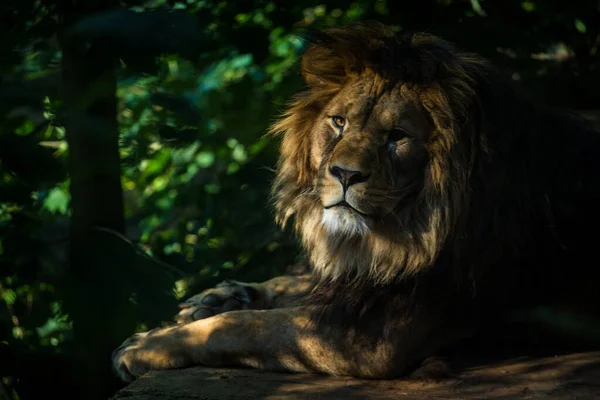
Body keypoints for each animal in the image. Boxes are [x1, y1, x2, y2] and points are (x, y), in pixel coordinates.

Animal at [111, 21, 600, 382]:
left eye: (397, 137)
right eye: (339, 123)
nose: (344, 175)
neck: (401, 228)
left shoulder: (369, 338)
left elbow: (243, 328)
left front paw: (145, 345)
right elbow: (296, 284)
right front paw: (221, 296)